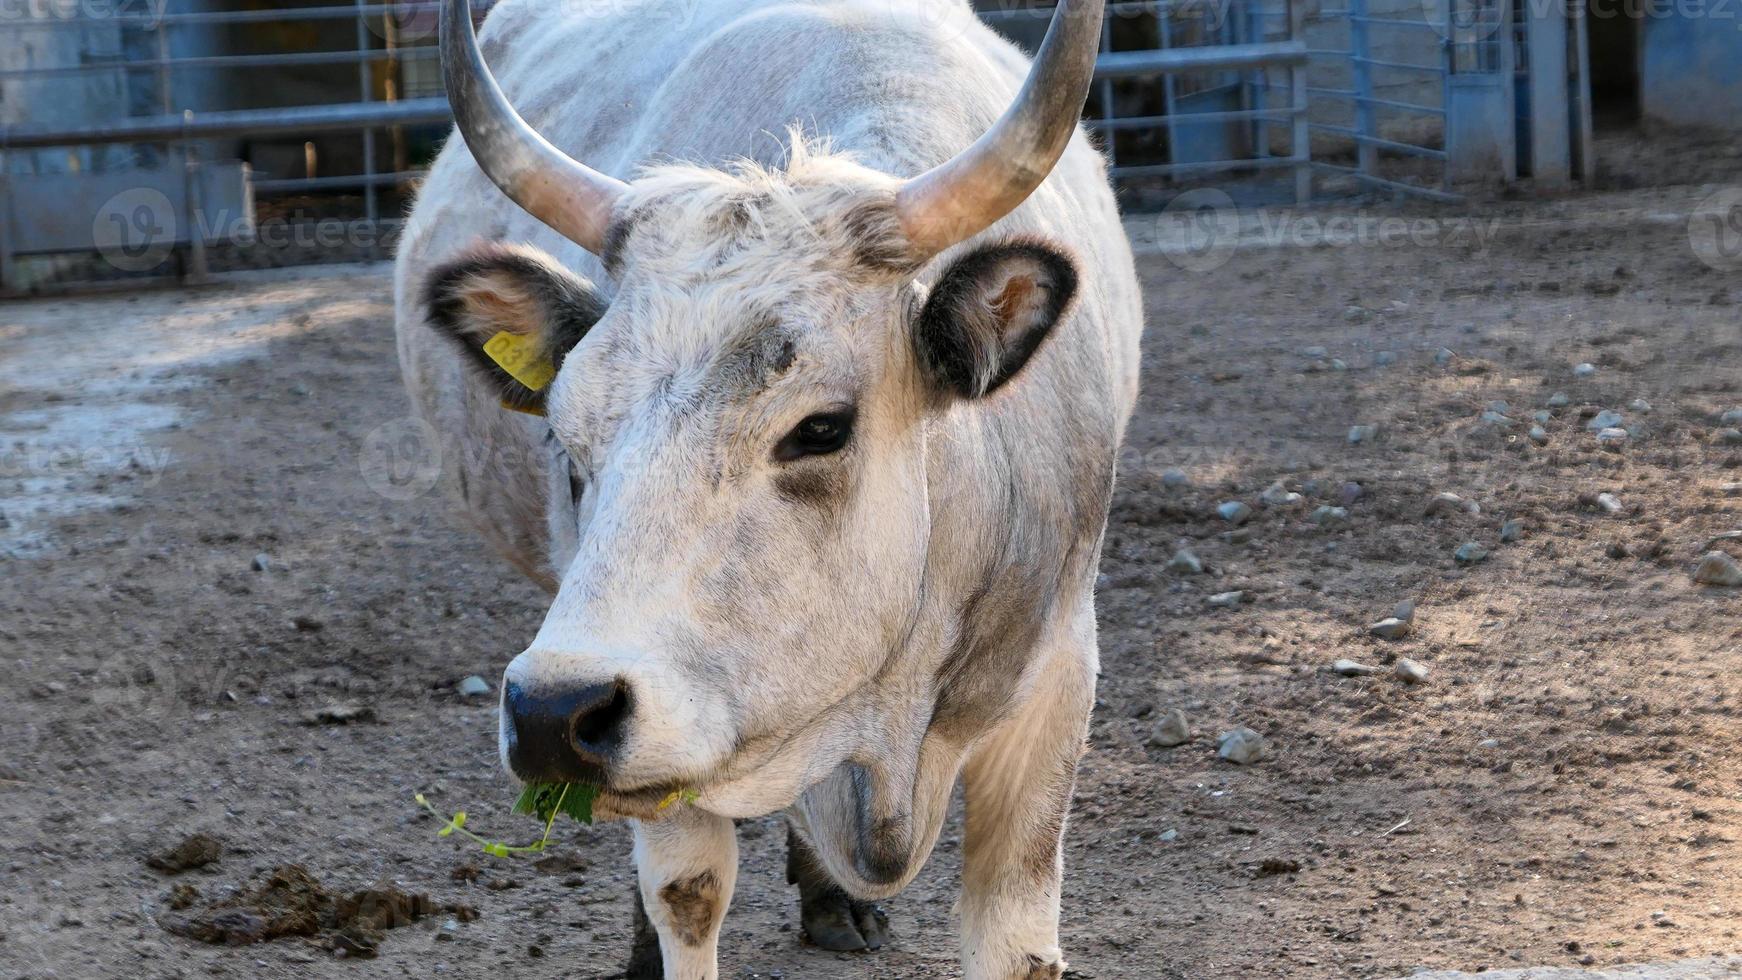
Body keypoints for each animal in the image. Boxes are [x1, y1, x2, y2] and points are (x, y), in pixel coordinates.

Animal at [395, 1, 1142, 974]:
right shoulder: (682, 753)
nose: (554, 713)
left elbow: (1014, 935)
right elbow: (688, 895)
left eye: (821, 428)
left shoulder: (1056, 688)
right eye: (565, 439)